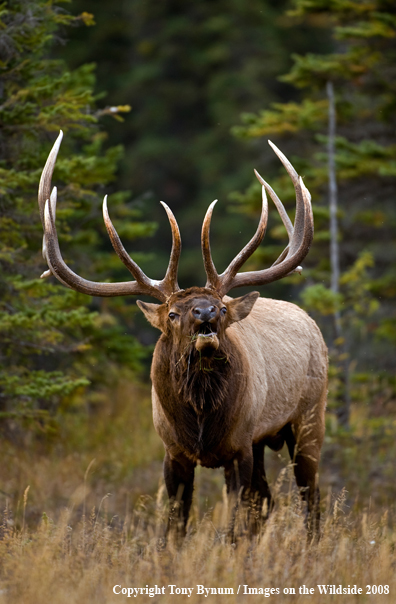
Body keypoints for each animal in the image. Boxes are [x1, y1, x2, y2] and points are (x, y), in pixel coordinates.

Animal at [38, 132, 328, 536]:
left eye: (222, 308)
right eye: (173, 313)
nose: (205, 312)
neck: (201, 423)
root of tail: (309, 320)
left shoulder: (239, 446)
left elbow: (234, 528)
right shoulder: (172, 450)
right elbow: (174, 527)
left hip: (308, 419)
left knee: (309, 500)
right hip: (264, 441)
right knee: (267, 501)